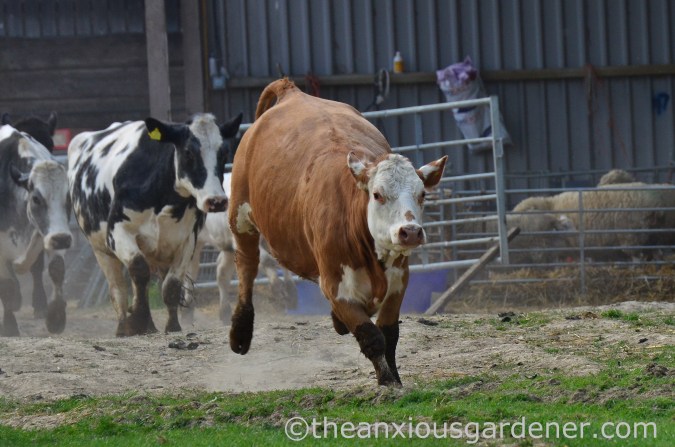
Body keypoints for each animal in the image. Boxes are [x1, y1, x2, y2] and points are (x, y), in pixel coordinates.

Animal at [0, 124, 72, 336]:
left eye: (68, 197)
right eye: (36, 199)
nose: (62, 239)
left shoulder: (49, 235)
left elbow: (56, 269)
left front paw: (55, 317)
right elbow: (7, 287)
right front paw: (9, 327)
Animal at [68, 112, 243, 336]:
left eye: (224, 153)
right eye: (188, 152)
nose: (217, 201)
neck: (163, 197)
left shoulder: (187, 241)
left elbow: (172, 285)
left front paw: (173, 326)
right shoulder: (117, 233)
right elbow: (139, 270)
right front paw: (140, 322)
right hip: (101, 250)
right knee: (118, 289)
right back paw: (123, 325)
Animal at [228, 79, 447, 386]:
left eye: (422, 194)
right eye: (377, 194)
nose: (411, 232)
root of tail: (290, 91)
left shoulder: (399, 280)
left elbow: (389, 334)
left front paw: (394, 378)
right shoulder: (335, 286)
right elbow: (372, 337)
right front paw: (387, 381)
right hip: (240, 217)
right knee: (247, 267)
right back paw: (240, 332)